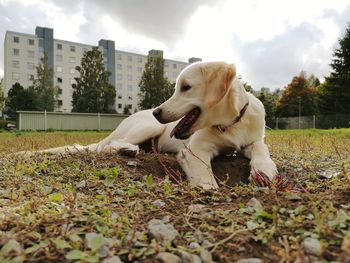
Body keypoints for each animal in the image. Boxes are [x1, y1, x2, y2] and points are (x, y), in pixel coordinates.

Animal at [23, 62, 278, 190]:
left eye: (186, 87)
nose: (157, 112)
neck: (228, 125)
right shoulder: (194, 150)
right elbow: (205, 177)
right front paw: (208, 187)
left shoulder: (254, 139)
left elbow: (261, 149)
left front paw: (264, 170)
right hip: (147, 128)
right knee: (107, 146)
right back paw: (127, 149)